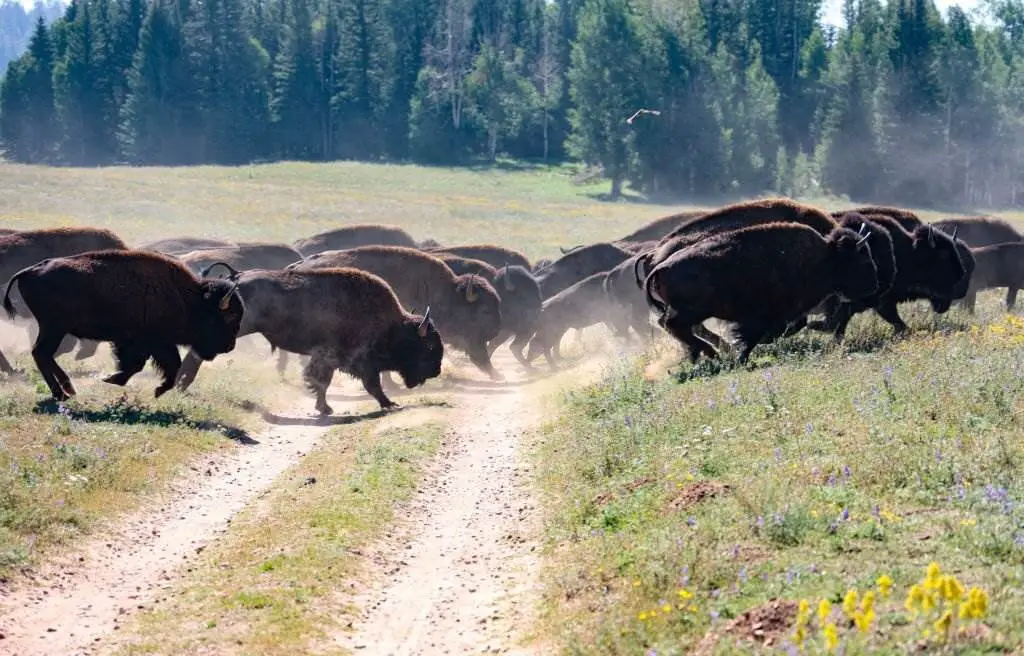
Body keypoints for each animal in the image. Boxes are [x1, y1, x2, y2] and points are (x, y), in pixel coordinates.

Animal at [2, 247, 243, 399]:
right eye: (230, 316)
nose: (230, 346)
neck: (190, 299)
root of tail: (29, 271)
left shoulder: (147, 344)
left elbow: (153, 365)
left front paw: (123, 381)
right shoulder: (151, 342)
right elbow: (156, 364)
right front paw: (119, 380)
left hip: (53, 329)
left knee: (42, 354)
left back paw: (67, 390)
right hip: (54, 328)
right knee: (41, 353)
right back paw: (63, 393)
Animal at [173, 264, 444, 411]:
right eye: (429, 346)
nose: (436, 370)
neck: (392, 325)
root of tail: (235, 278)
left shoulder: (331, 360)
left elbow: (325, 382)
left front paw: (323, 407)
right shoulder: (353, 361)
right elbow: (365, 384)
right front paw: (389, 404)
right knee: (196, 354)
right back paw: (182, 385)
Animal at [643, 221, 876, 364]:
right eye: (863, 259)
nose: (874, 285)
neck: (826, 257)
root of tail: (660, 266)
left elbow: (793, 326)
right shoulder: (767, 315)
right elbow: (755, 334)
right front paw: (743, 353)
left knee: (675, 327)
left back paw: (706, 354)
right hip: (690, 312)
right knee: (674, 326)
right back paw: (712, 353)